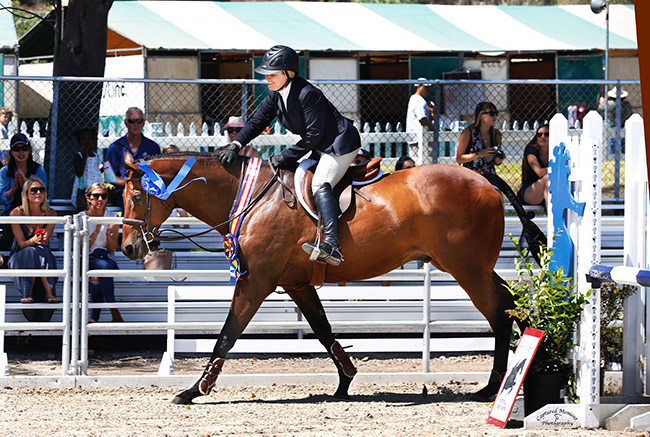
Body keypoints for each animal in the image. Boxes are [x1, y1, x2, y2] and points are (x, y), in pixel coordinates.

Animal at [119, 152, 536, 404]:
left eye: (137, 196)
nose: (129, 248)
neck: (252, 197)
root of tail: (482, 179)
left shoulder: (256, 282)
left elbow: (227, 334)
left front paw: (195, 389)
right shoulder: (297, 284)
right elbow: (323, 331)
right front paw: (345, 381)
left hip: (466, 268)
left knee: (500, 313)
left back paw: (492, 387)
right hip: (473, 267)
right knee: (513, 306)